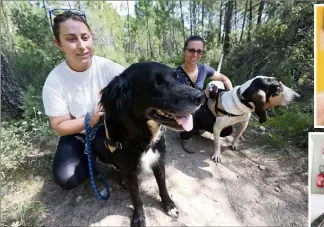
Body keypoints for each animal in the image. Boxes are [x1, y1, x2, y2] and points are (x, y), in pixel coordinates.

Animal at [99, 61, 205, 227]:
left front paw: (169, 205)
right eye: (157, 83)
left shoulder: (159, 160)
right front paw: (139, 218)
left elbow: (163, 186)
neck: (142, 138)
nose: (201, 97)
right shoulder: (129, 170)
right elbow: (136, 198)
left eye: (177, 78)